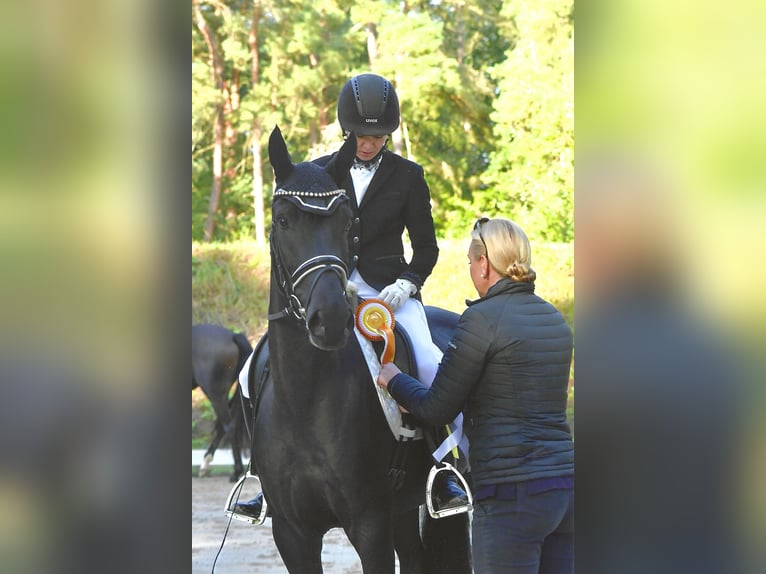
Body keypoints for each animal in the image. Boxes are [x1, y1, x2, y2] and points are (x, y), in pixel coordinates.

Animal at [249, 129, 472, 574]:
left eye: (345, 221)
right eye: (282, 220)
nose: (331, 319)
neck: (305, 400)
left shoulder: (370, 523)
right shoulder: (291, 532)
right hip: (402, 511)